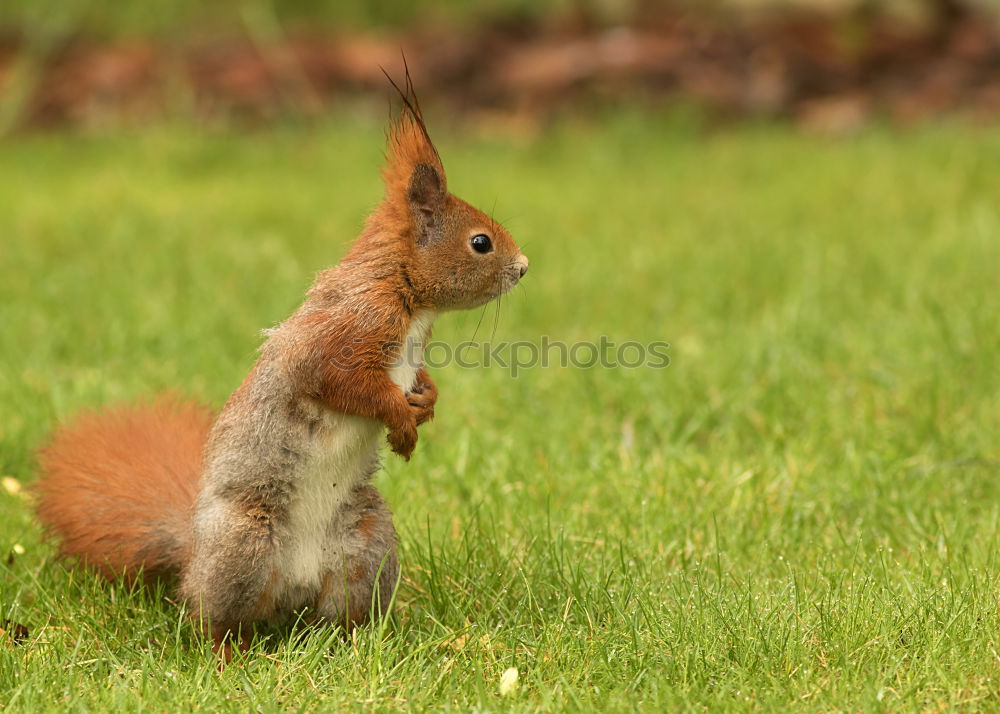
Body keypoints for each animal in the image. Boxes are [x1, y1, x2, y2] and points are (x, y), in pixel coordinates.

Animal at [33, 80, 532, 652]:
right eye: (480, 242)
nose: (524, 268)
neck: (407, 298)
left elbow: (417, 384)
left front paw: (424, 402)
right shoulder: (338, 337)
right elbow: (345, 384)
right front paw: (401, 421)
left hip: (367, 544)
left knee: (340, 610)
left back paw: (355, 643)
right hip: (244, 546)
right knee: (216, 620)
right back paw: (228, 652)